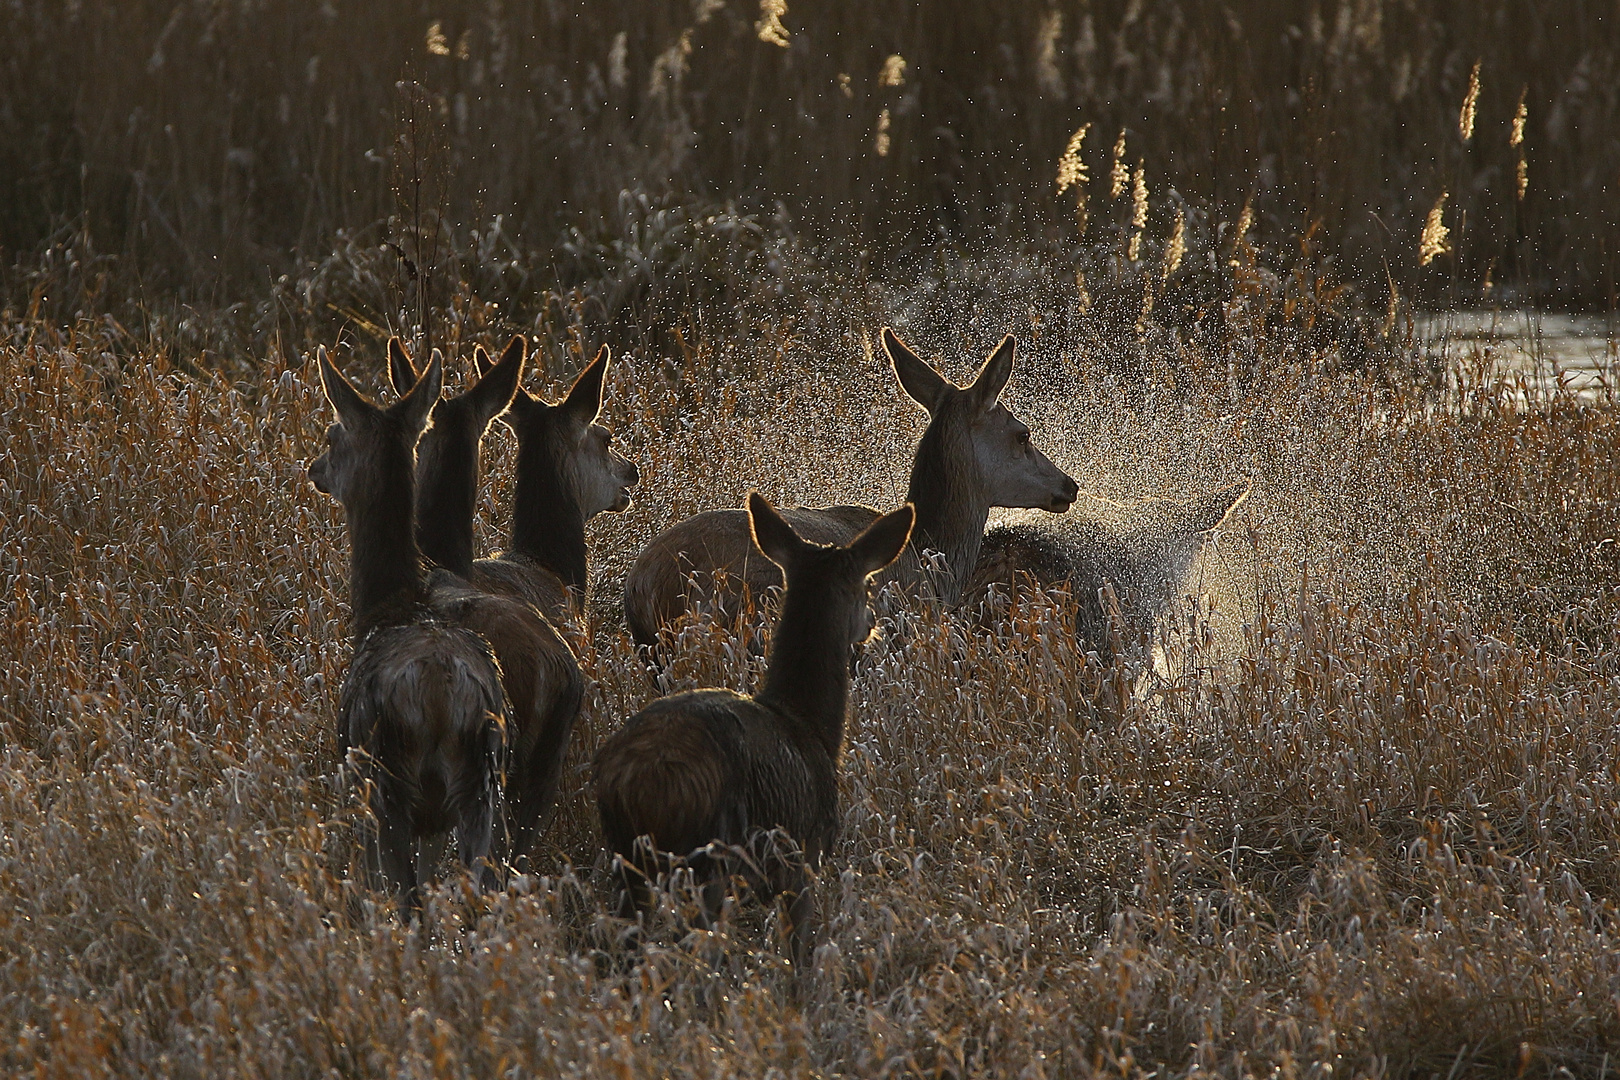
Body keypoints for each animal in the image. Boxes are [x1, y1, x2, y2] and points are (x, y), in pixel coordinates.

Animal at [304, 348, 505, 919]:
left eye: (333, 434)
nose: (314, 468)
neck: (384, 609)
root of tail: (439, 695)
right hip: (479, 790)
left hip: (386, 782)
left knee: (407, 900)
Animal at [599, 495, 926, 965]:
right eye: (865, 585)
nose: (872, 624)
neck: (809, 725)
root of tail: (642, 783)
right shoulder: (804, 855)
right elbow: (799, 953)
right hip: (710, 858)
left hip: (628, 860)